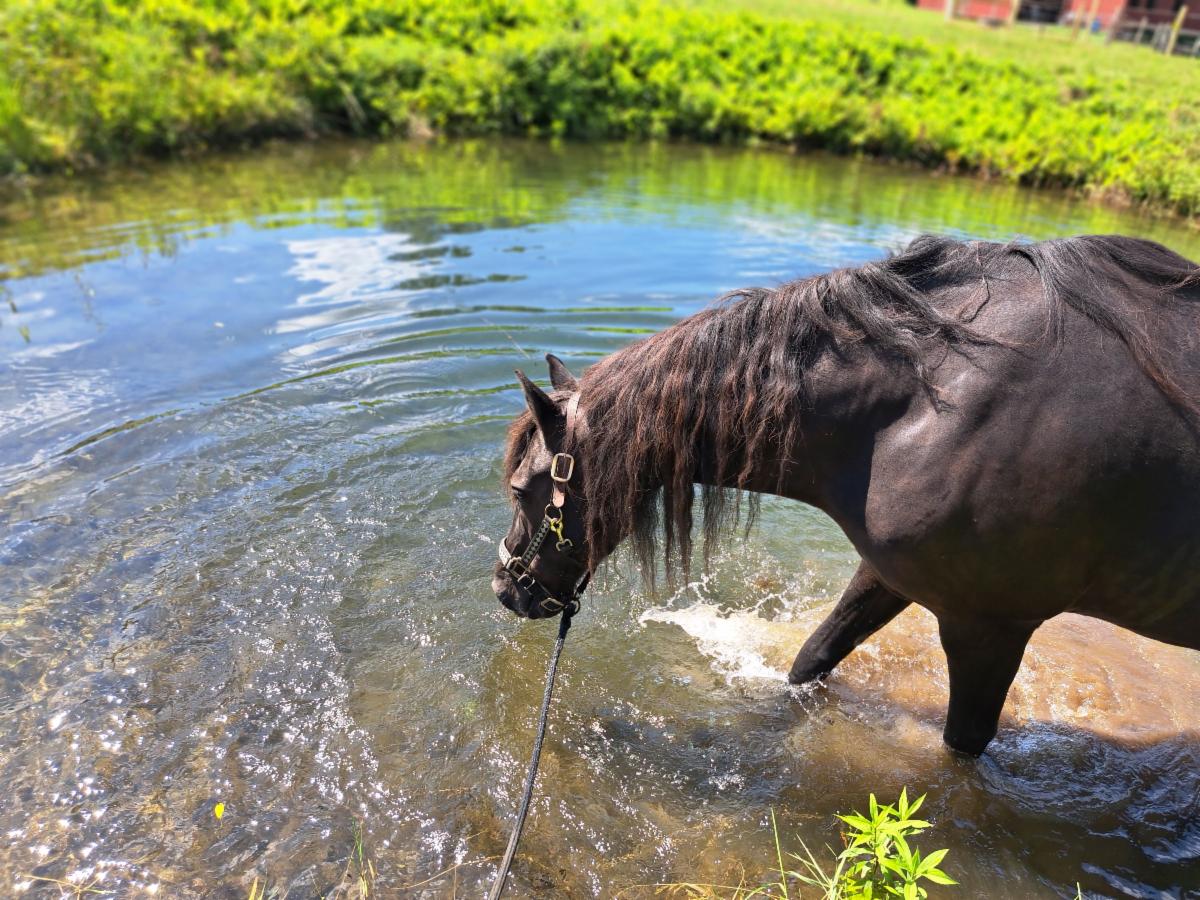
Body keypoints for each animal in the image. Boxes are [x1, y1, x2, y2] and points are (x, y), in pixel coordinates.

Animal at [492, 234, 1200, 755]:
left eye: (522, 487)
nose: (505, 588)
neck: (931, 399)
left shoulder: (988, 628)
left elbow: (961, 746)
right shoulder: (887, 574)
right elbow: (810, 659)